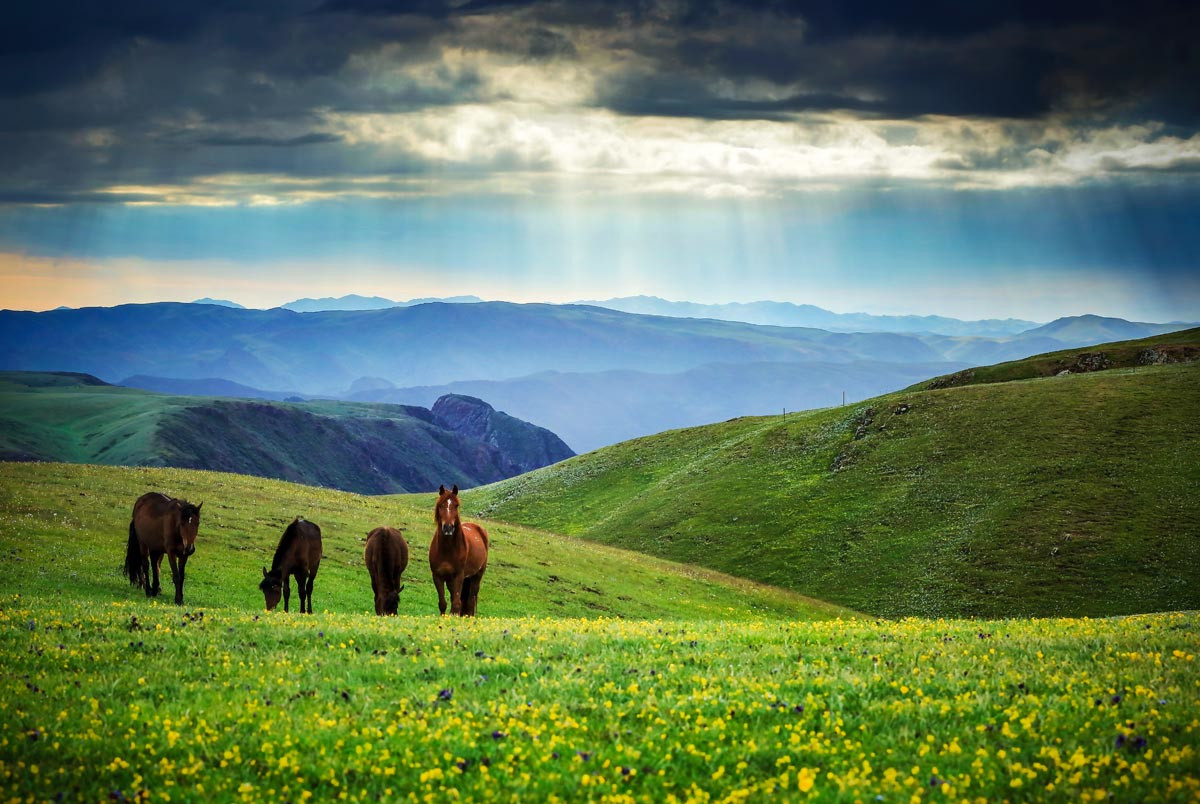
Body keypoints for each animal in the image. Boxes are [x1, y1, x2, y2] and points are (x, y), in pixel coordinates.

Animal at [429, 484, 489, 619]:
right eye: (440, 505)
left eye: (456, 505)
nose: (448, 528)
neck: (446, 550)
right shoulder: (437, 576)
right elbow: (443, 603)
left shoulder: (459, 575)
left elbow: (457, 603)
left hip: (476, 576)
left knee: (470, 600)